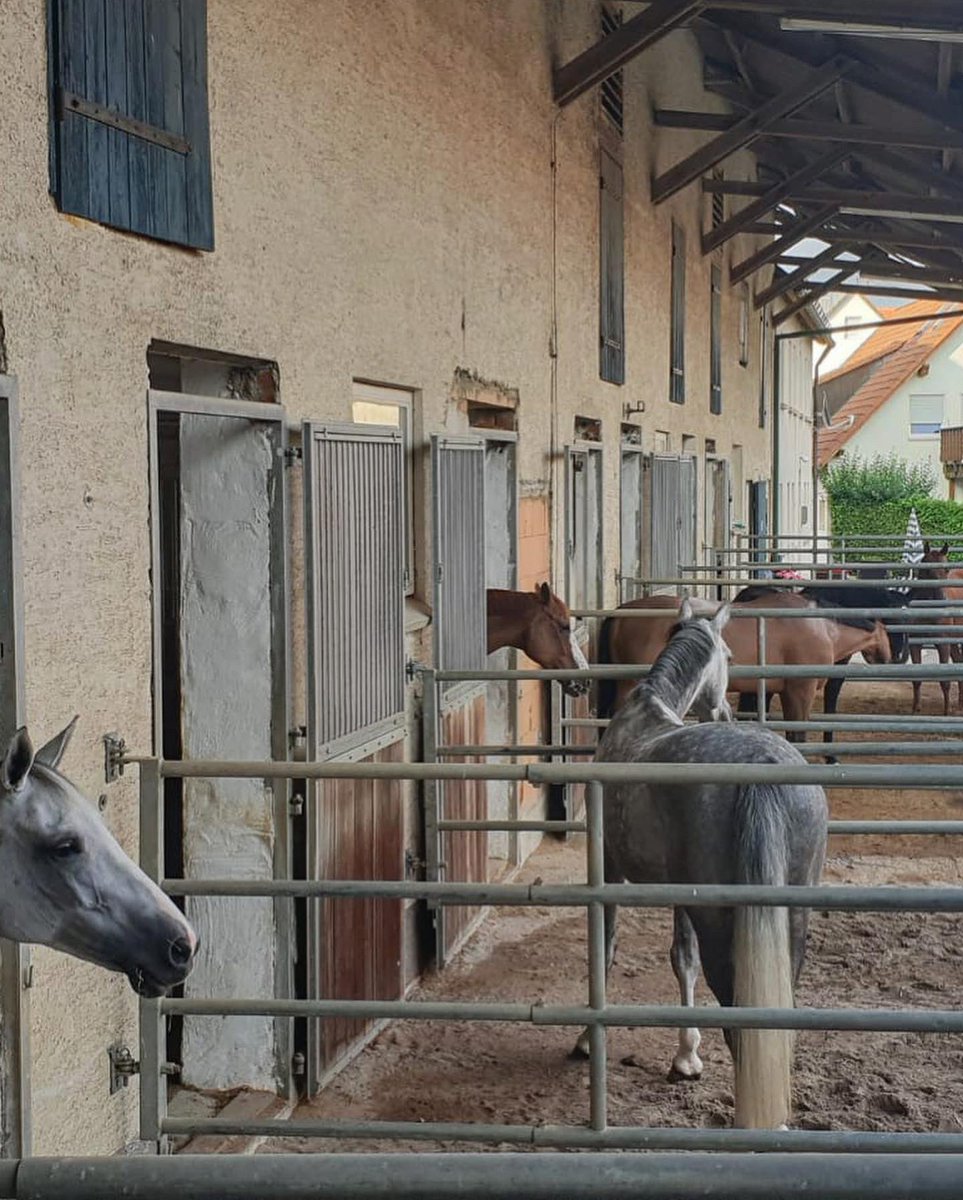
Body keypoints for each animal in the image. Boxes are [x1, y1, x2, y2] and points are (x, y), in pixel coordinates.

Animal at [573, 600, 828, 1130]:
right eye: (730, 655)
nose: (727, 707)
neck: (648, 707)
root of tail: (760, 769)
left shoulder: (609, 869)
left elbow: (608, 949)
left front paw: (588, 1040)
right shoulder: (679, 891)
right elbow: (680, 960)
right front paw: (686, 1055)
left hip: (720, 920)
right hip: (792, 917)